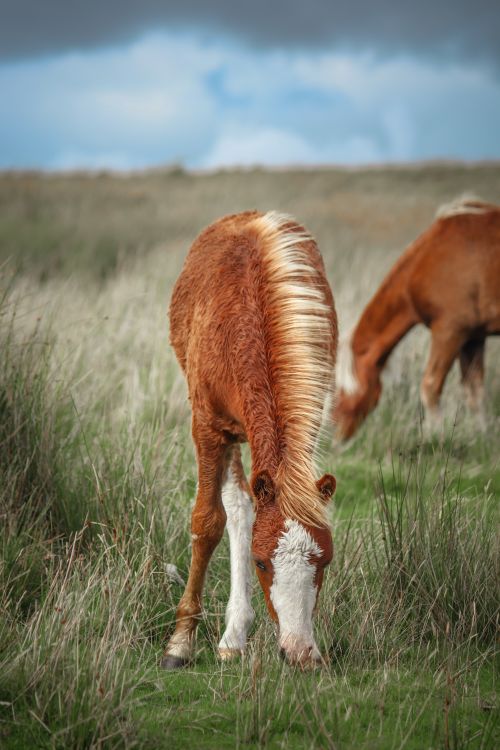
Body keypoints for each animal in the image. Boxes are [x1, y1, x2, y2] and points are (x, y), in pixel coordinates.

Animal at [163, 210, 338, 670]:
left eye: (325, 561)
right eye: (261, 563)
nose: (299, 652)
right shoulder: (208, 427)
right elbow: (207, 523)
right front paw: (179, 643)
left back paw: (233, 635)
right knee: (239, 507)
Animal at [334, 196, 500, 440]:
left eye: (340, 390)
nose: (337, 436)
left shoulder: (450, 332)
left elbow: (430, 387)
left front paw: (438, 437)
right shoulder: (473, 338)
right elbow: (475, 392)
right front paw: (483, 437)